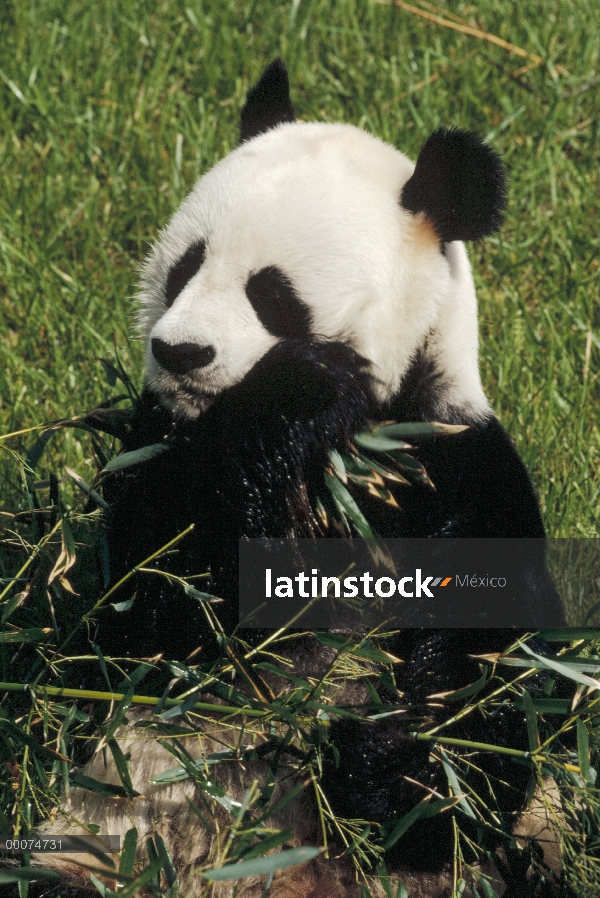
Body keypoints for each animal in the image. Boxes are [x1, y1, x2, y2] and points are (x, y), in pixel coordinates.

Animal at [32, 59, 568, 892]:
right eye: (185, 267)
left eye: (273, 294)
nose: (180, 352)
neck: (351, 453)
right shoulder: (161, 450)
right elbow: (149, 609)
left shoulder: (454, 465)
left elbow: (495, 679)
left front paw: (377, 770)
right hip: (97, 843)